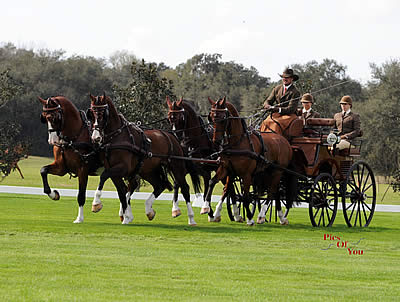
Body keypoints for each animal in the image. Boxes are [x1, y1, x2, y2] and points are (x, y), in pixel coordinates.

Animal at [38, 95, 131, 223]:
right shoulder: (61, 168)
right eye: (44, 117)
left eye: (55, 117)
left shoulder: (82, 170)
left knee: (126, 189)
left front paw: (79, 218)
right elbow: (43, 170)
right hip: (115, 173)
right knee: (123, 189)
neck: (73, 138)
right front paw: (54, 194)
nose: (52, 140)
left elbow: (81, 195)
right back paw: (125, 216)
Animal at [87, 93, 200, 225]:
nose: (95, 137)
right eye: (91, 114)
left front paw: (96, 204)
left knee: (185, 188)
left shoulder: (122, 167)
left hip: (177, 166)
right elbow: (121, 190)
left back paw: (191, 218)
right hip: (147, 171)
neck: (116, 137)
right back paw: (148, 209)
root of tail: (173, 136)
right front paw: (126, 216)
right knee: (159, 185)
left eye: (102, 114)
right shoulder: (113, 169)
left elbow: (105, 177)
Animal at [206, 96, 294, 224]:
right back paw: (281, 217)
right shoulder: (227, 169)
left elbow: (246, 196)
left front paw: (249, 218)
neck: (237, 142)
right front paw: (209, 210)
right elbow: (216, 184)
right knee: (276, 192)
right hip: (269, 172)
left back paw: (261, 216)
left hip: (278, 171)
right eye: (211, 118)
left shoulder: (246, 175)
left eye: (223, 119)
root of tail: (284, 140)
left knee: (271, 192)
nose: (216, 141)